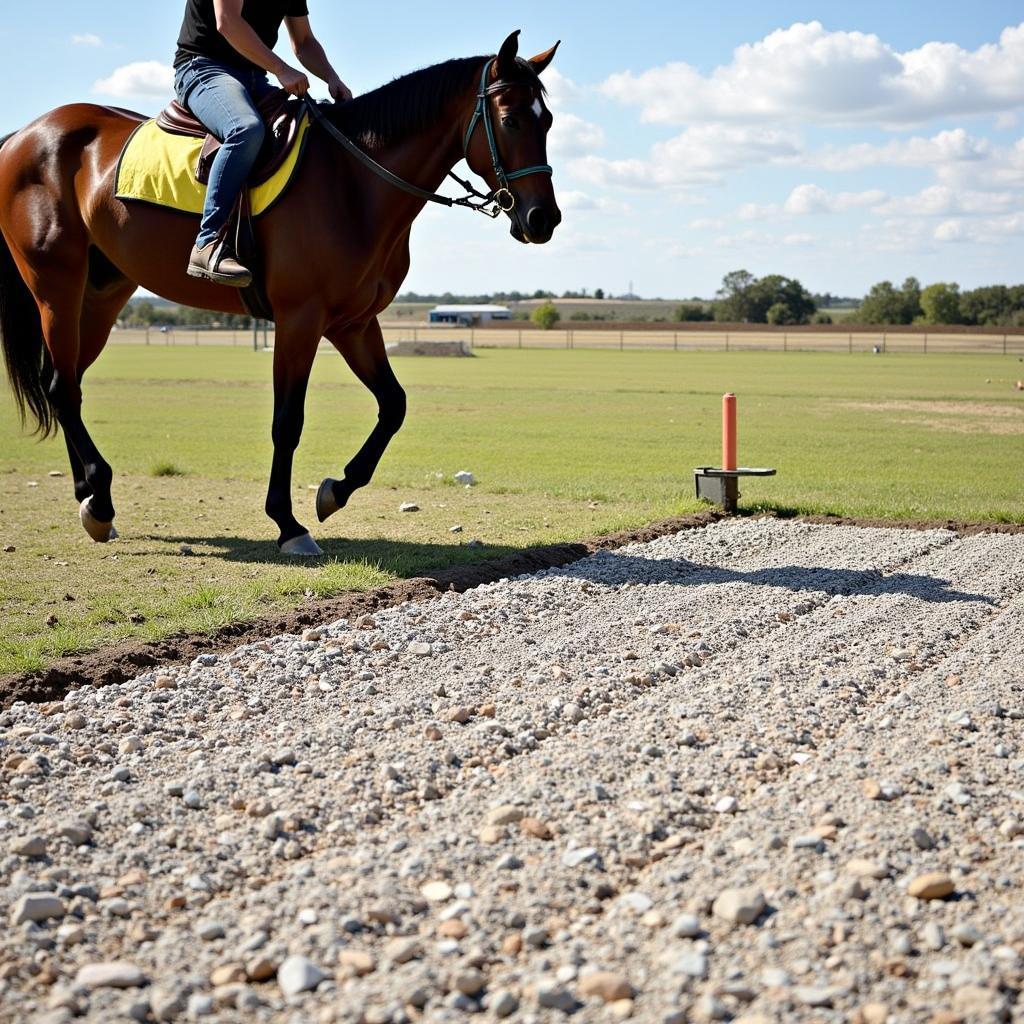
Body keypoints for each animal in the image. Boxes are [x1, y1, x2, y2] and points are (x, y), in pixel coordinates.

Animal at [0, 32, 561, 557]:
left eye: (549, 122)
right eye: (511, 120)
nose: (544, 219)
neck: (353, 183)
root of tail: (24, 135)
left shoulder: (353, 323)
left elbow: (393, 405)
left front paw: (335, 491)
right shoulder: (300, 320)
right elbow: (287, 422)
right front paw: (288, 524)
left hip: (101, 297)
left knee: (66, 383)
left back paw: (90, 498)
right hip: (57, 287)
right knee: (62, 389)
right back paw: (100, 497)